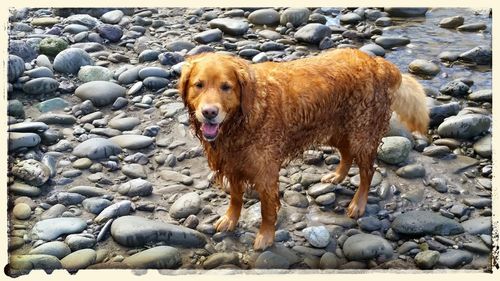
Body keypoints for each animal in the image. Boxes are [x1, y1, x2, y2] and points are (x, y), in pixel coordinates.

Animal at [178, 48, 428, 249]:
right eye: (198, 85)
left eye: (226, 87)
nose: (209, 112)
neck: (242, 119)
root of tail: (378, 62)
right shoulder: (232, 162)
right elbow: (236, 197)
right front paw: (230, 219)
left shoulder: (265, 170)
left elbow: (267, 209)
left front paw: (266, 237)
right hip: (336, 129)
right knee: (346, 153)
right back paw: (336, 176)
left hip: (362, 134)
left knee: (367, 172)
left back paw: (358, 204)